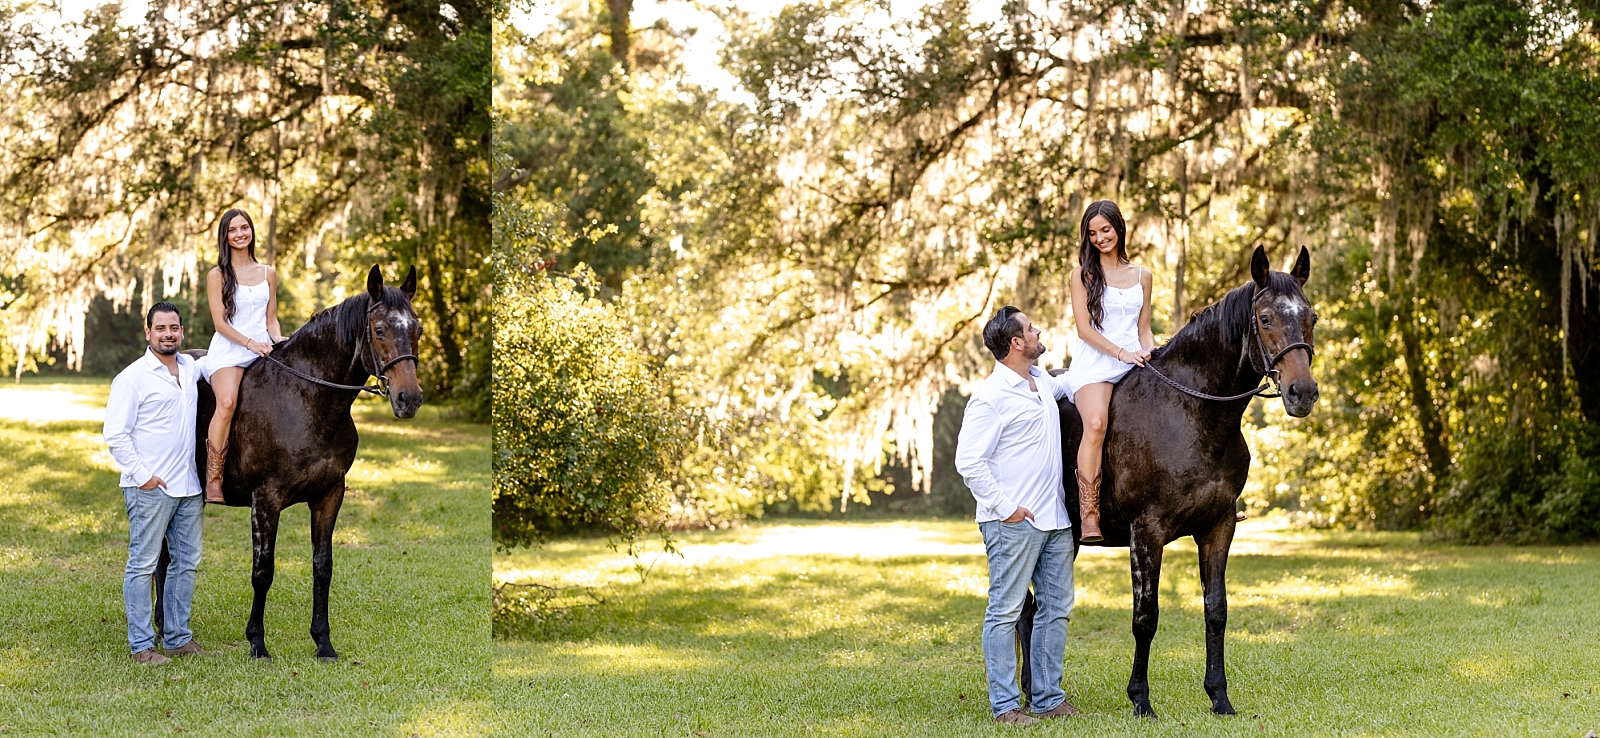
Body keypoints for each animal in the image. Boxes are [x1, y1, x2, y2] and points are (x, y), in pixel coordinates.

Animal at [151, 264, 419, 662]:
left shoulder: (329, 495)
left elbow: (322, 567)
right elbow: (263, 571)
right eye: (380, 329)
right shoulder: (267, 499)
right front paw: (257, 642)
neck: (308, 400)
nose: (409, 399)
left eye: (417, 329)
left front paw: (323, 643)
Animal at [1017, 246, 1318, 713]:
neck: (1193, 412)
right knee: (1024, 611)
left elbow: (1216, 610)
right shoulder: (1147, 532)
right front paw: (1141, 699)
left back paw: (1038, 691)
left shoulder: (1218, 528)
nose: (1302, 393)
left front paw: (1219, 698)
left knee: (1034, 610)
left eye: (1312, 317)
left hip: (1065, 540)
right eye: (1265, 318)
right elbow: (1146, 617)